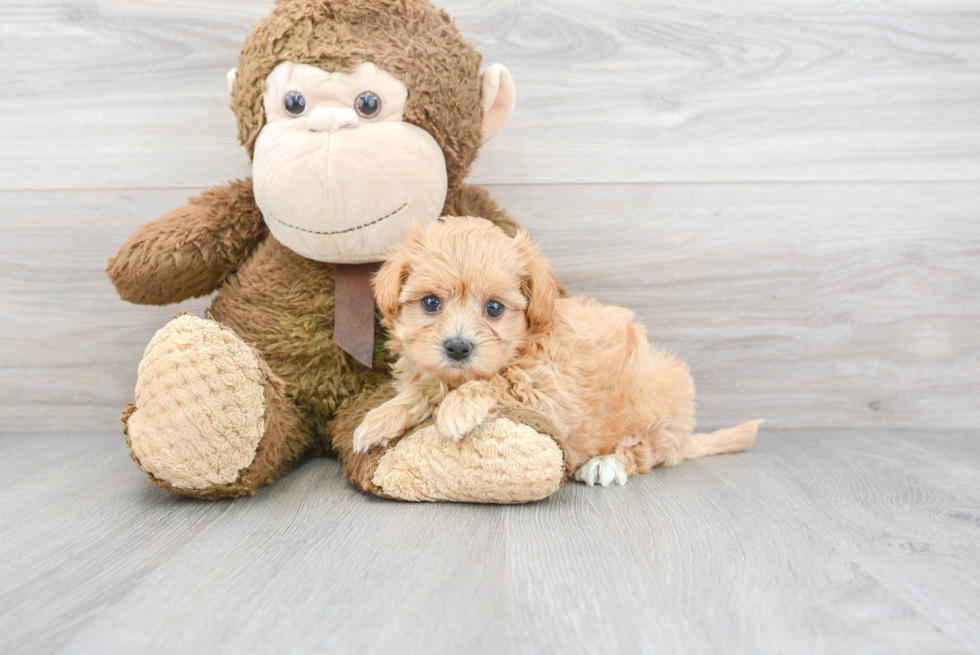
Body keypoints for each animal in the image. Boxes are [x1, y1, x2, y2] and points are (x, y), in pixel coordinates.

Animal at [352, 218, 756, 484]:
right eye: (431, 303)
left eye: (494, 309)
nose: (457, 347)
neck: (524, 344)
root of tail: (686, 434)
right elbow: (423, 389)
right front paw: (380, 419)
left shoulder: (549, 397)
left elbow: (497, 382)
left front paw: (459, 407)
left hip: (659, 398)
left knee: (650, 450)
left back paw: (607, 464)